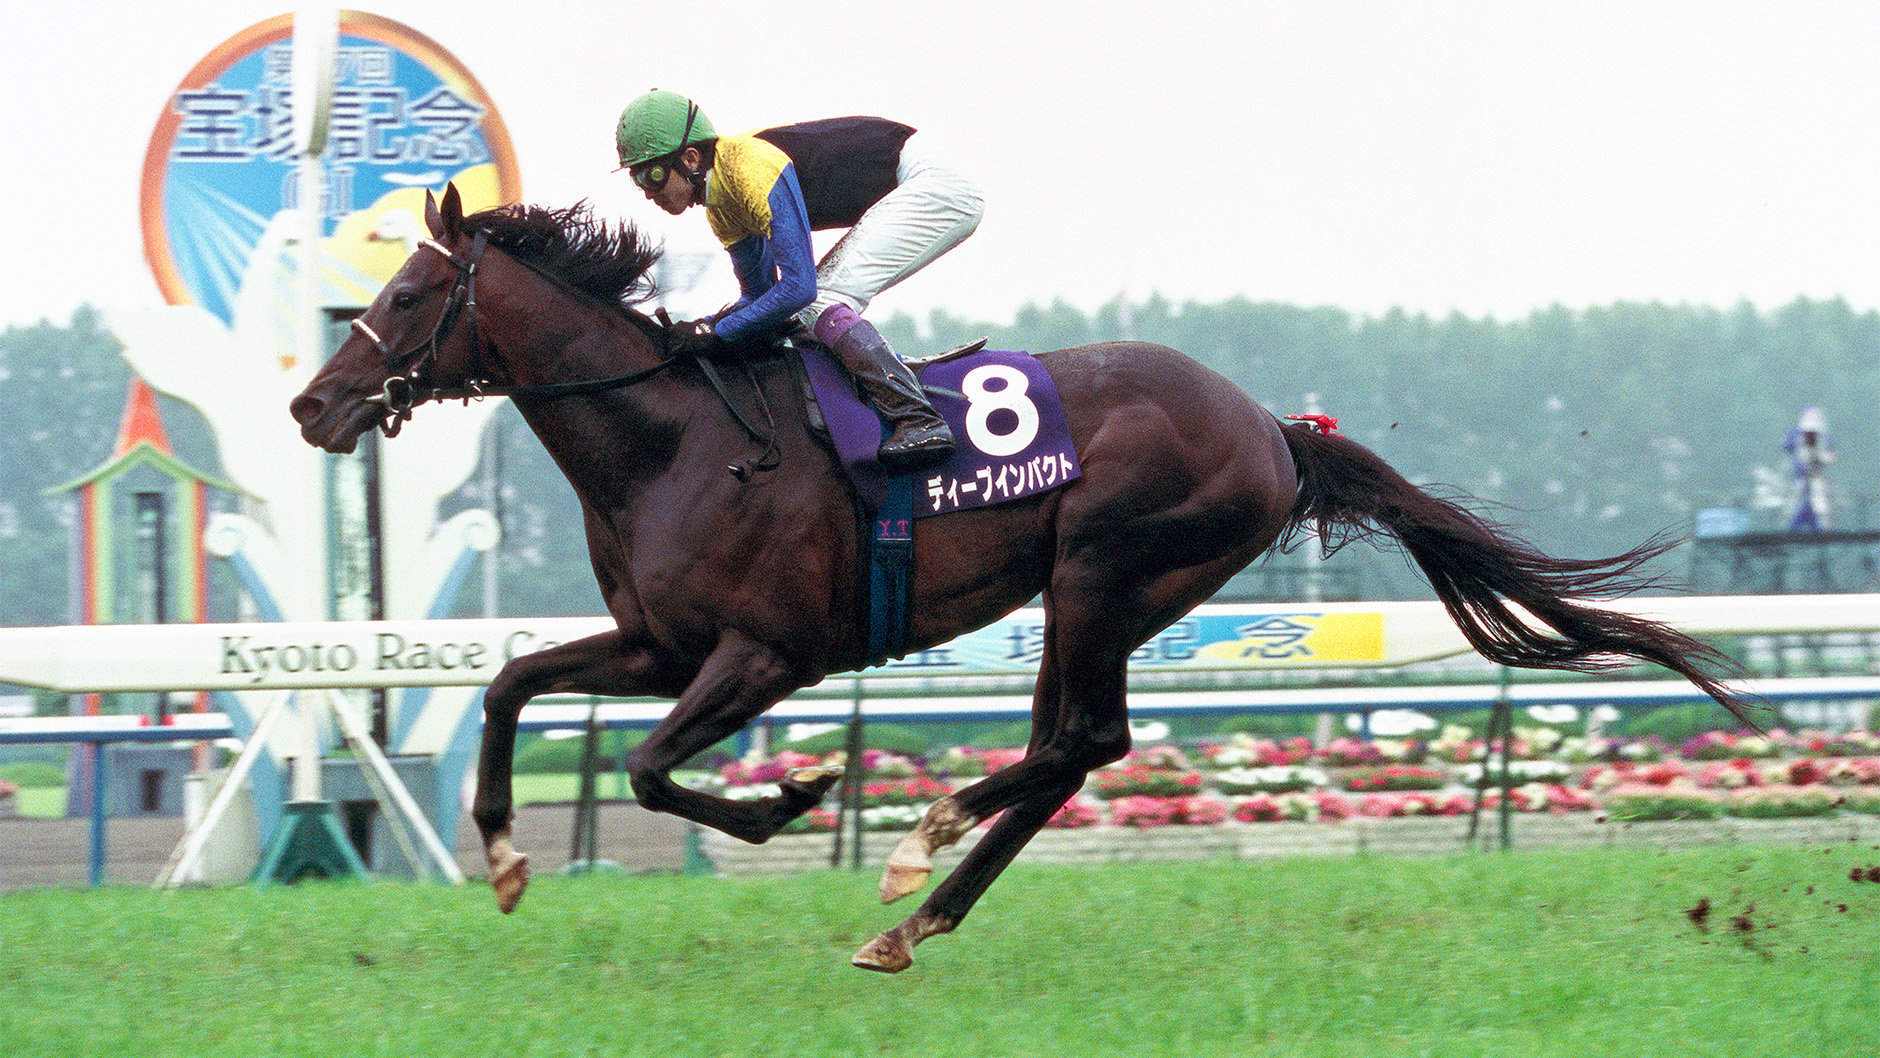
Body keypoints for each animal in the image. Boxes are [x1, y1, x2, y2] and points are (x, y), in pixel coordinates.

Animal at [291, 185, 1752, 973]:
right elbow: (509, 683)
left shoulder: (766, 653)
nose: (312, 403)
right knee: (1070, 745)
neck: (679, 438)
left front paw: (799, 797)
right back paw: (916, 911)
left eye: (410, 294)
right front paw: (502, 855)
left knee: (1076, 737)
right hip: (1093, 588)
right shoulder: (660, 643)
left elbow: (651, 770)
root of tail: (1271, 425)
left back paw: (917, 849)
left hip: (1106, 565)